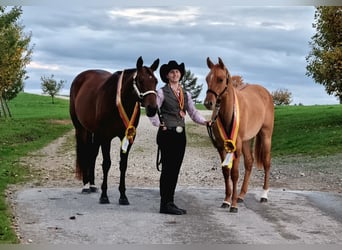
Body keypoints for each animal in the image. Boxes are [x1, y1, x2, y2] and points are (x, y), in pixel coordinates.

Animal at [70, 57, 160, 205]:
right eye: (140, 80)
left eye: (156, 81)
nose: (152, 109)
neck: (117, 100)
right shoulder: (106, 137)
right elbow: (107, 164)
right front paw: (104, 196)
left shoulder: (128, 136)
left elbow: (123, 165)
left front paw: (123, 196)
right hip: (81, 129)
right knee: (85, 152)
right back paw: (85, 185)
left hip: (94, 132)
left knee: (92, 154)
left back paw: (92, 185)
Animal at [204, 57, 274, 213]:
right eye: (207, 79)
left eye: (220, 79)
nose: (208, 103)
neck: (229, 112)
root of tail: (264, 92)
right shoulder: (221, 146)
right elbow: (226, 172)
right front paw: (226, 200)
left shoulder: (236, 145)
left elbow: (235, 174)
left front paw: (233, 205)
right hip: (247, 141)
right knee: (249, 162)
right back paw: (241, 195)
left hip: (265, 136)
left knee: (266, 163)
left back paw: (264, 195)